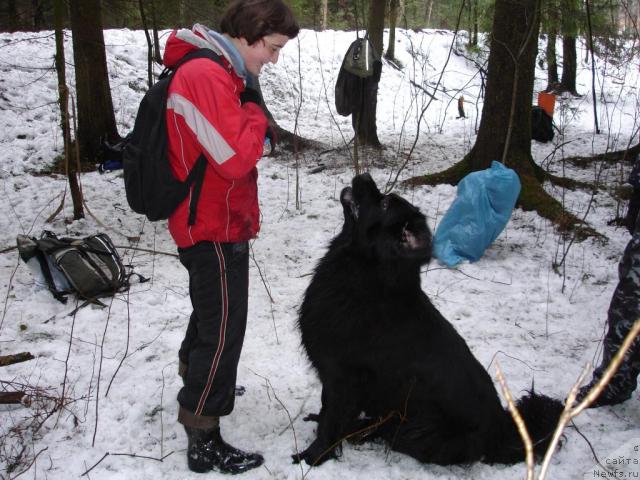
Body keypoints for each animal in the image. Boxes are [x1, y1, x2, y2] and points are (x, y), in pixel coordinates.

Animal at [292, 174, 564, 466]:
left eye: (385, 203)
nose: (363, 176)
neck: (365, 274)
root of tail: (502, 433)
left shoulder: (343, 376)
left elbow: (331, 420)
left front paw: (312, 456)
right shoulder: (332, 374)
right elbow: (326, 407)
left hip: (417, 429)